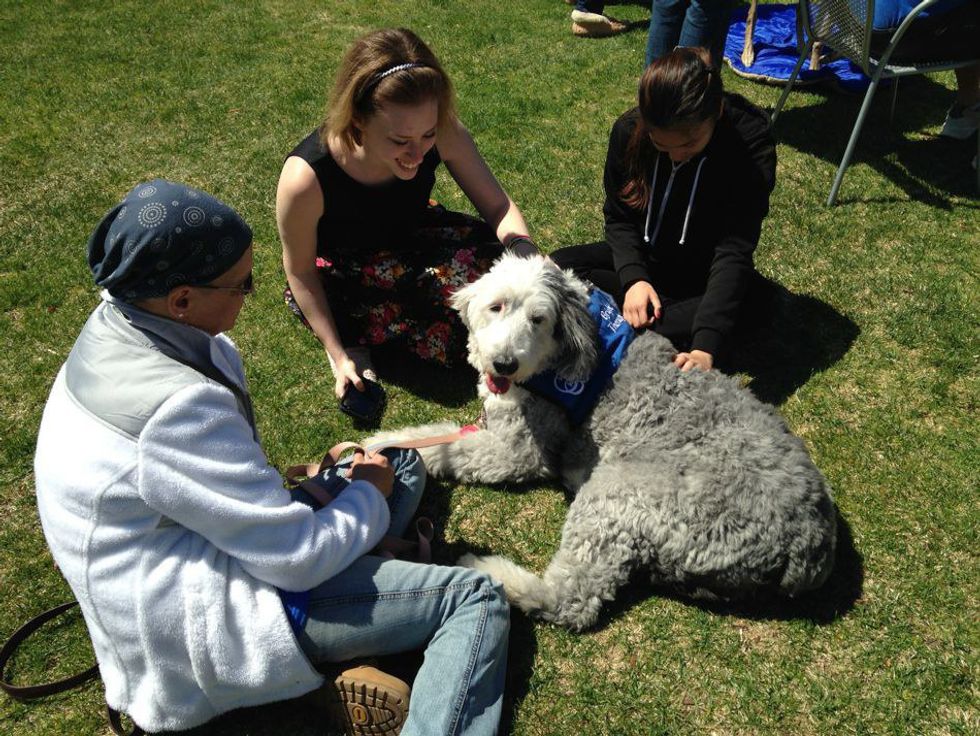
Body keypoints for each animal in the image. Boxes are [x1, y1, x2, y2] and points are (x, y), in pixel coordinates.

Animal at [371, 255, 837, 631]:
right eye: (496, 306)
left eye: (539, 319)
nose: (504, 363)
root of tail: (809, 549)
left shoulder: (522, 451)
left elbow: (450, 447)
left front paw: (387, 445)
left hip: (620, 491)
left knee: (571, 602)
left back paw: (489, 571)